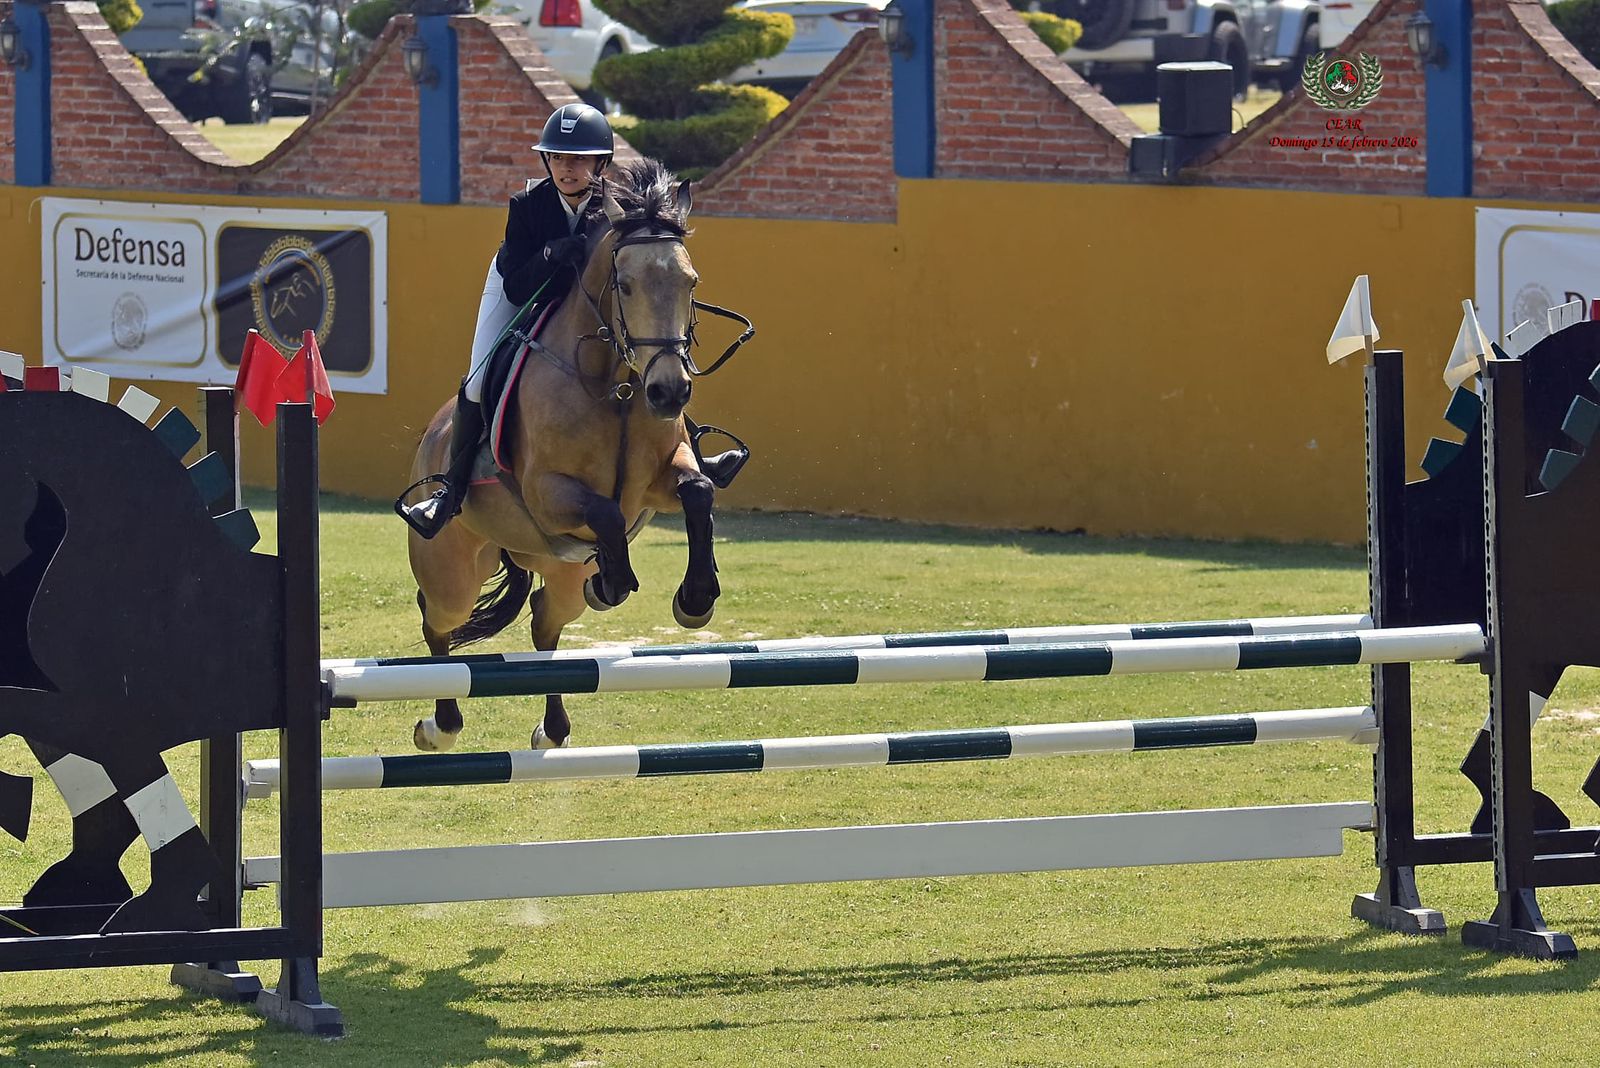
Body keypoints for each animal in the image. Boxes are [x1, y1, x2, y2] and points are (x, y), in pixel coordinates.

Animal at [404, 158, 747, 753]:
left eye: (691, 283)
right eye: (625, 285)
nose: (670, 393)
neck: (618, 387)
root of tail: (432, 438)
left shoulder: (662, 477)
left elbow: (698, 490)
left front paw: (695, 599)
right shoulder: (547, 491)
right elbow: (605, 511)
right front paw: (615, 581)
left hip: (555, 571)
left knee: (545, 620)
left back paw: (554, 727)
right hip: (454, 571)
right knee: (438, 621)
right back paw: (439, 727)